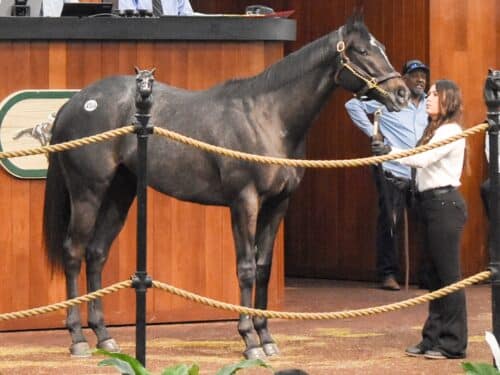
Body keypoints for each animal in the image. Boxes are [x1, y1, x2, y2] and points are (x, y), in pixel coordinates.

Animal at [43, 14, 410, 360]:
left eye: (382, 48)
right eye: (362, 51)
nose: (402, 93)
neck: (268, 117)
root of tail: (73, 103)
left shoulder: (278, 203)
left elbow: (263, 268)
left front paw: (267, 338)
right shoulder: (244, 201)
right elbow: (245, 268)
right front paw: (249, 340)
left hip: (120, 192)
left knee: (96, 253)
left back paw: (104, 336)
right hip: (88, 192)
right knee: (74, 252)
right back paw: (77, 339)